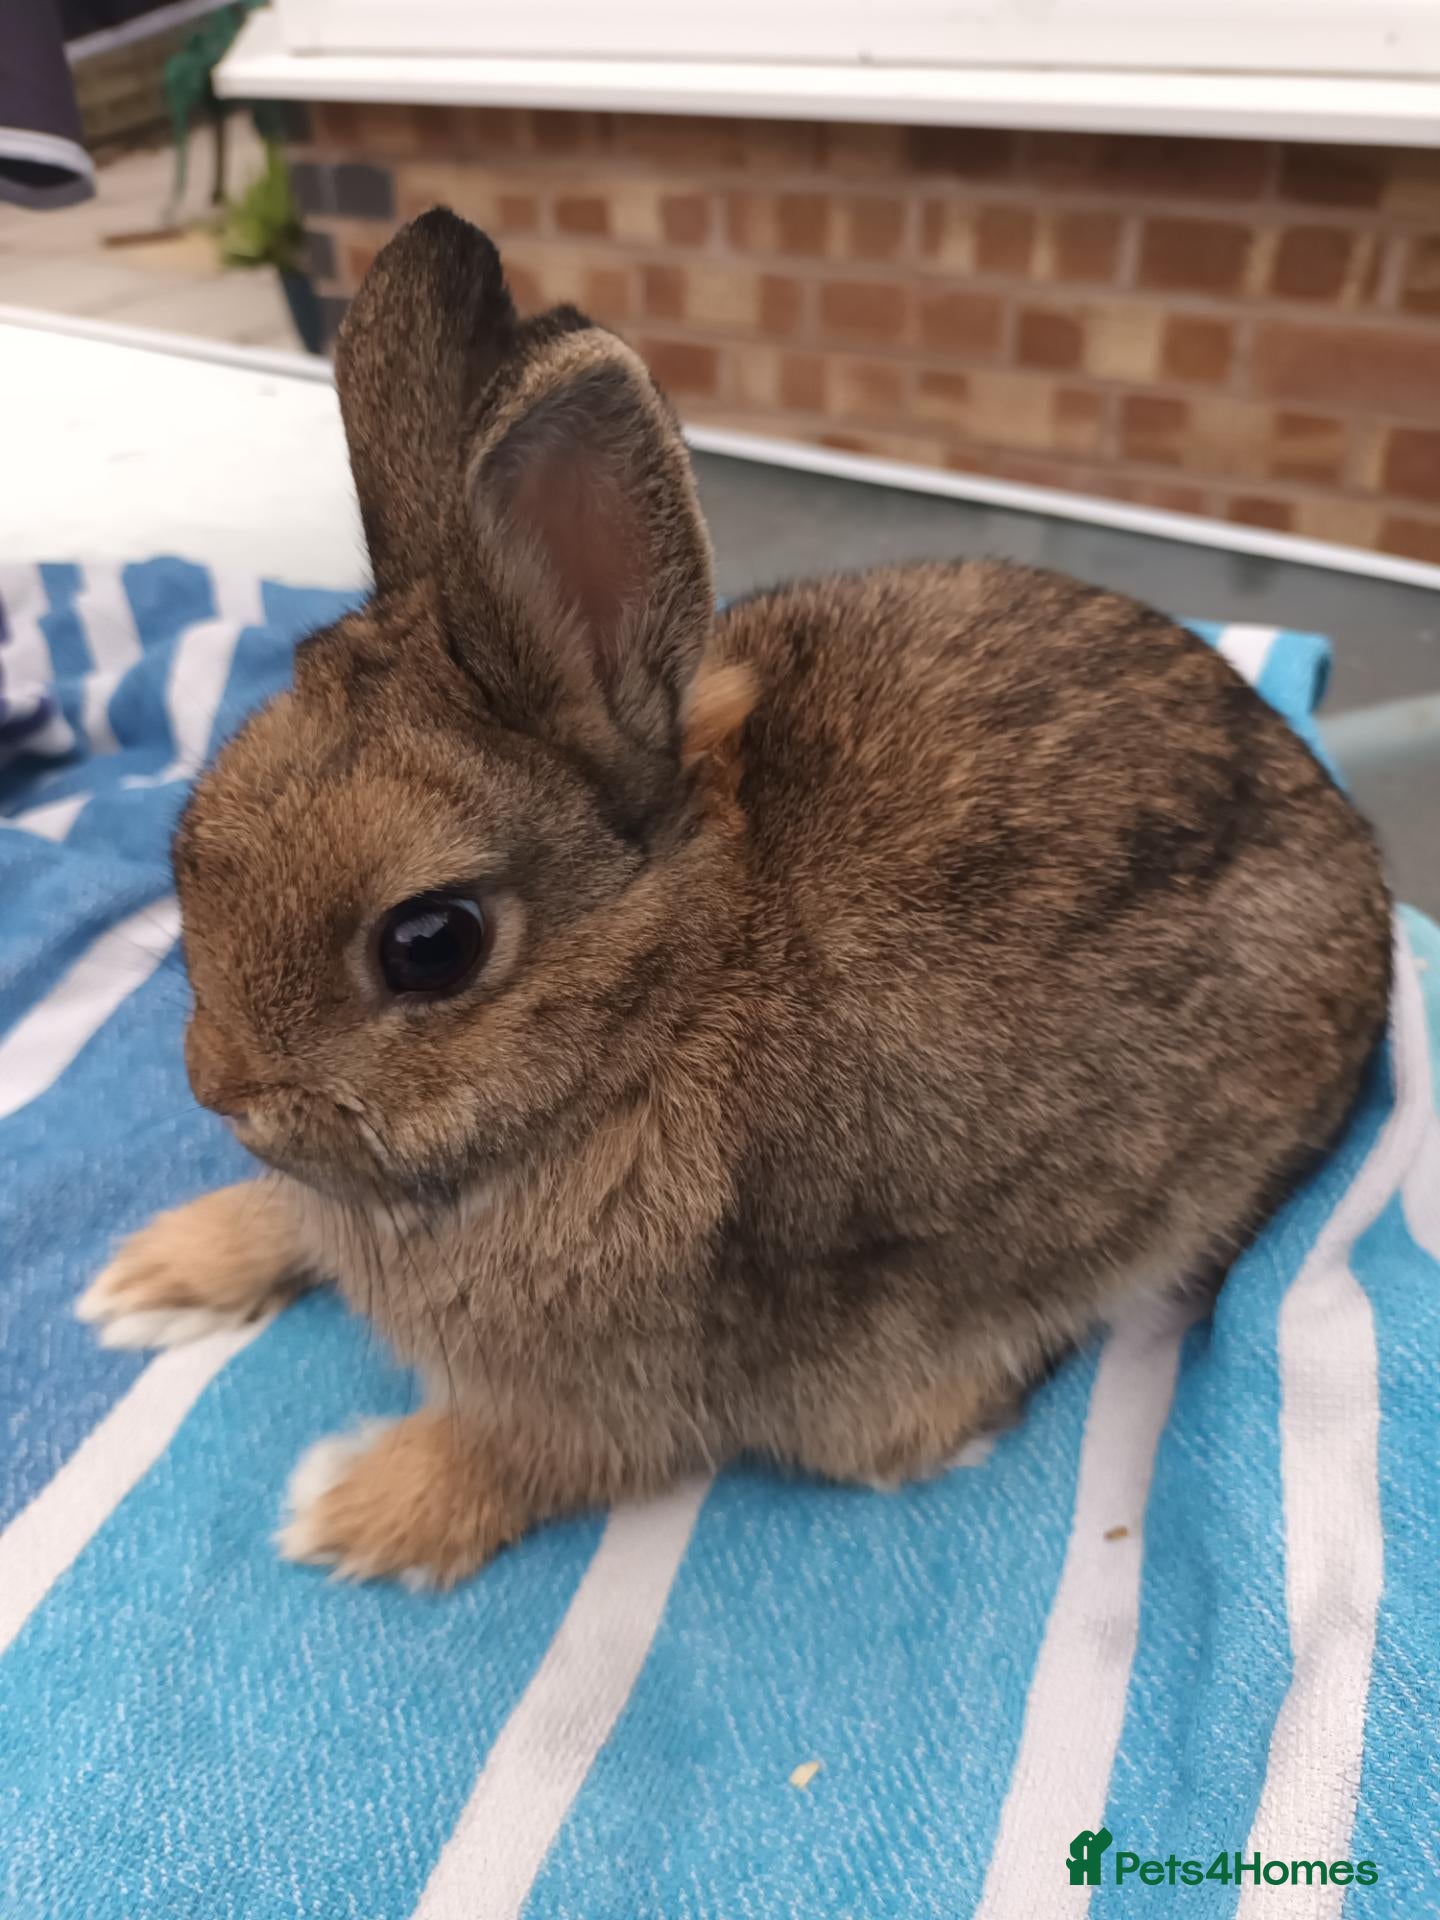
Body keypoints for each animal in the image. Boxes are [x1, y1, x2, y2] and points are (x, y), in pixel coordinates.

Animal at [78, 208, 1392, 1589]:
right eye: (193, 833)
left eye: (429, 943)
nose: (219, 1087)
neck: (660, 998)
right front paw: (159, 1273)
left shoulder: (629, 1389)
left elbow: (527, 1458)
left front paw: (351, 1507)